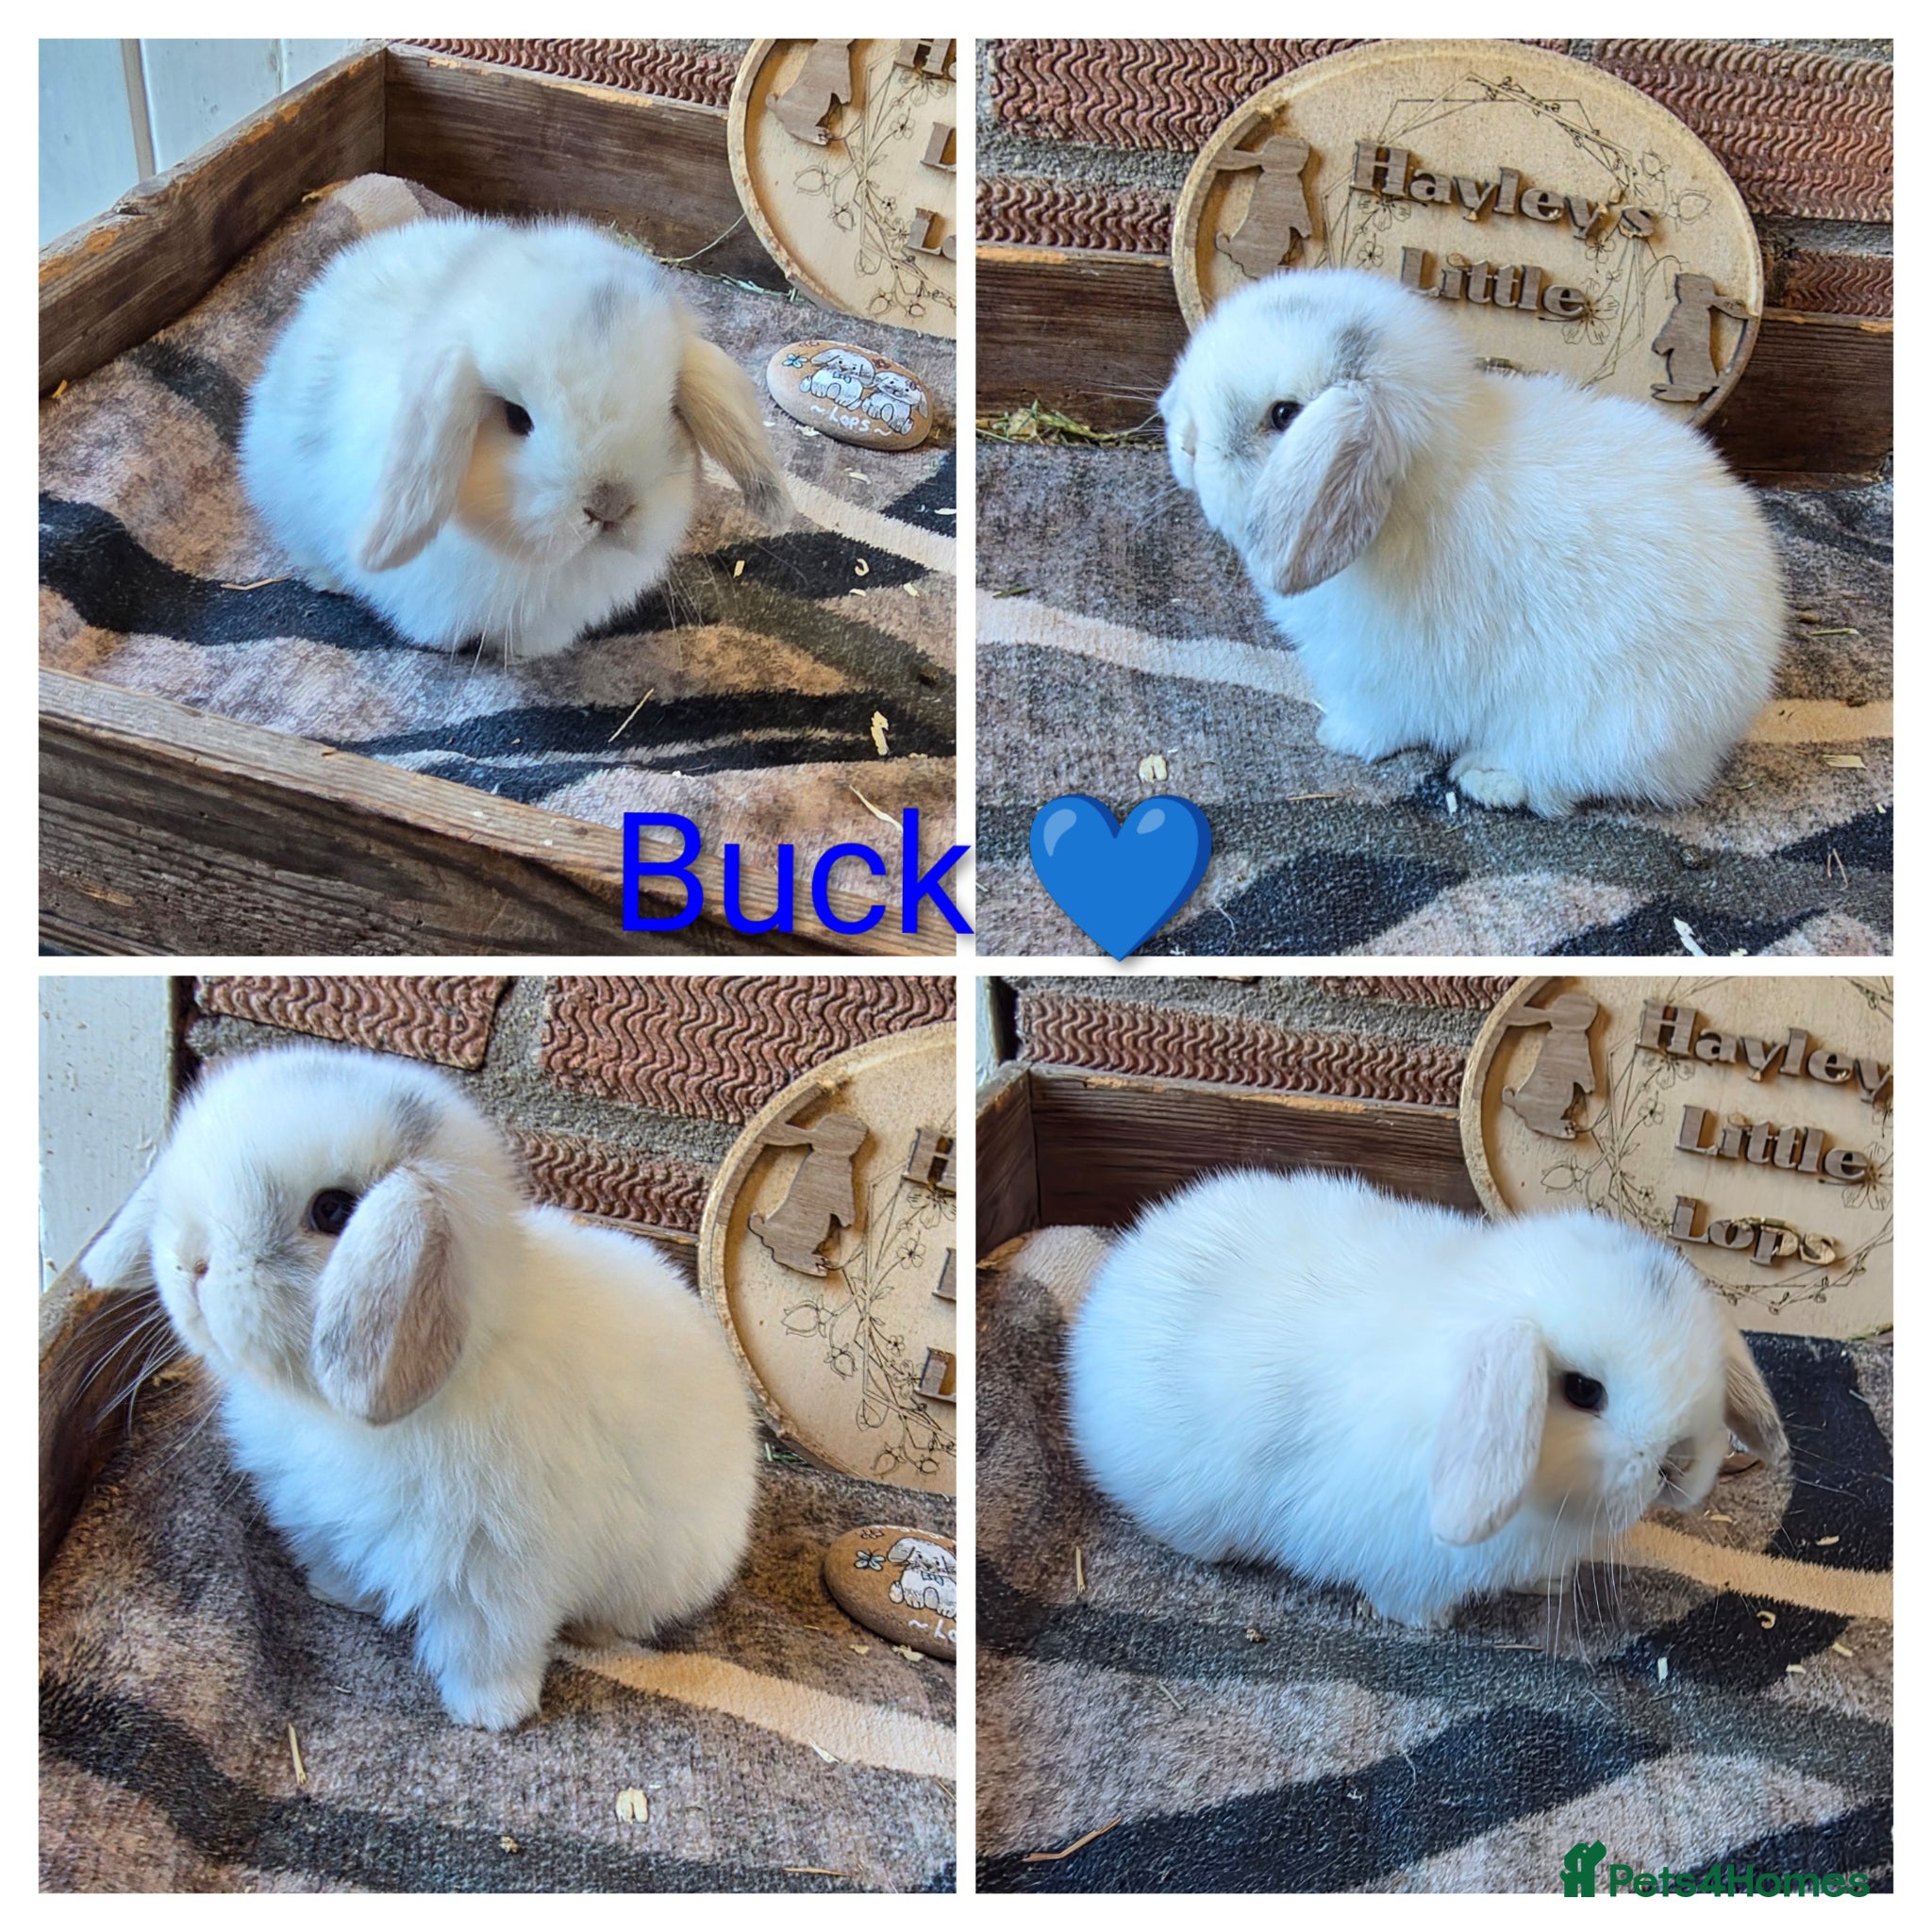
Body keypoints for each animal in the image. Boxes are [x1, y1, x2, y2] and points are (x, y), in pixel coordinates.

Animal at [83, 1044, 758, 1730]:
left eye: (332, 1210)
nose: (190, 1263)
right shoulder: (330, 1525)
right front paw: (335, 1594)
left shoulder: (498, 1574)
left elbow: (488, 1645)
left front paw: (490, 1714)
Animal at [1159, 269, 1786, 815]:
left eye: (1284, 415)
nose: (1185, 440)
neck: (1412, 493)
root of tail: (1736, 709)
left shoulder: (1384, 675)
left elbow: (1378, 721)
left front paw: (1338, 736)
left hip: (1595, 721)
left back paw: (1487, 778)